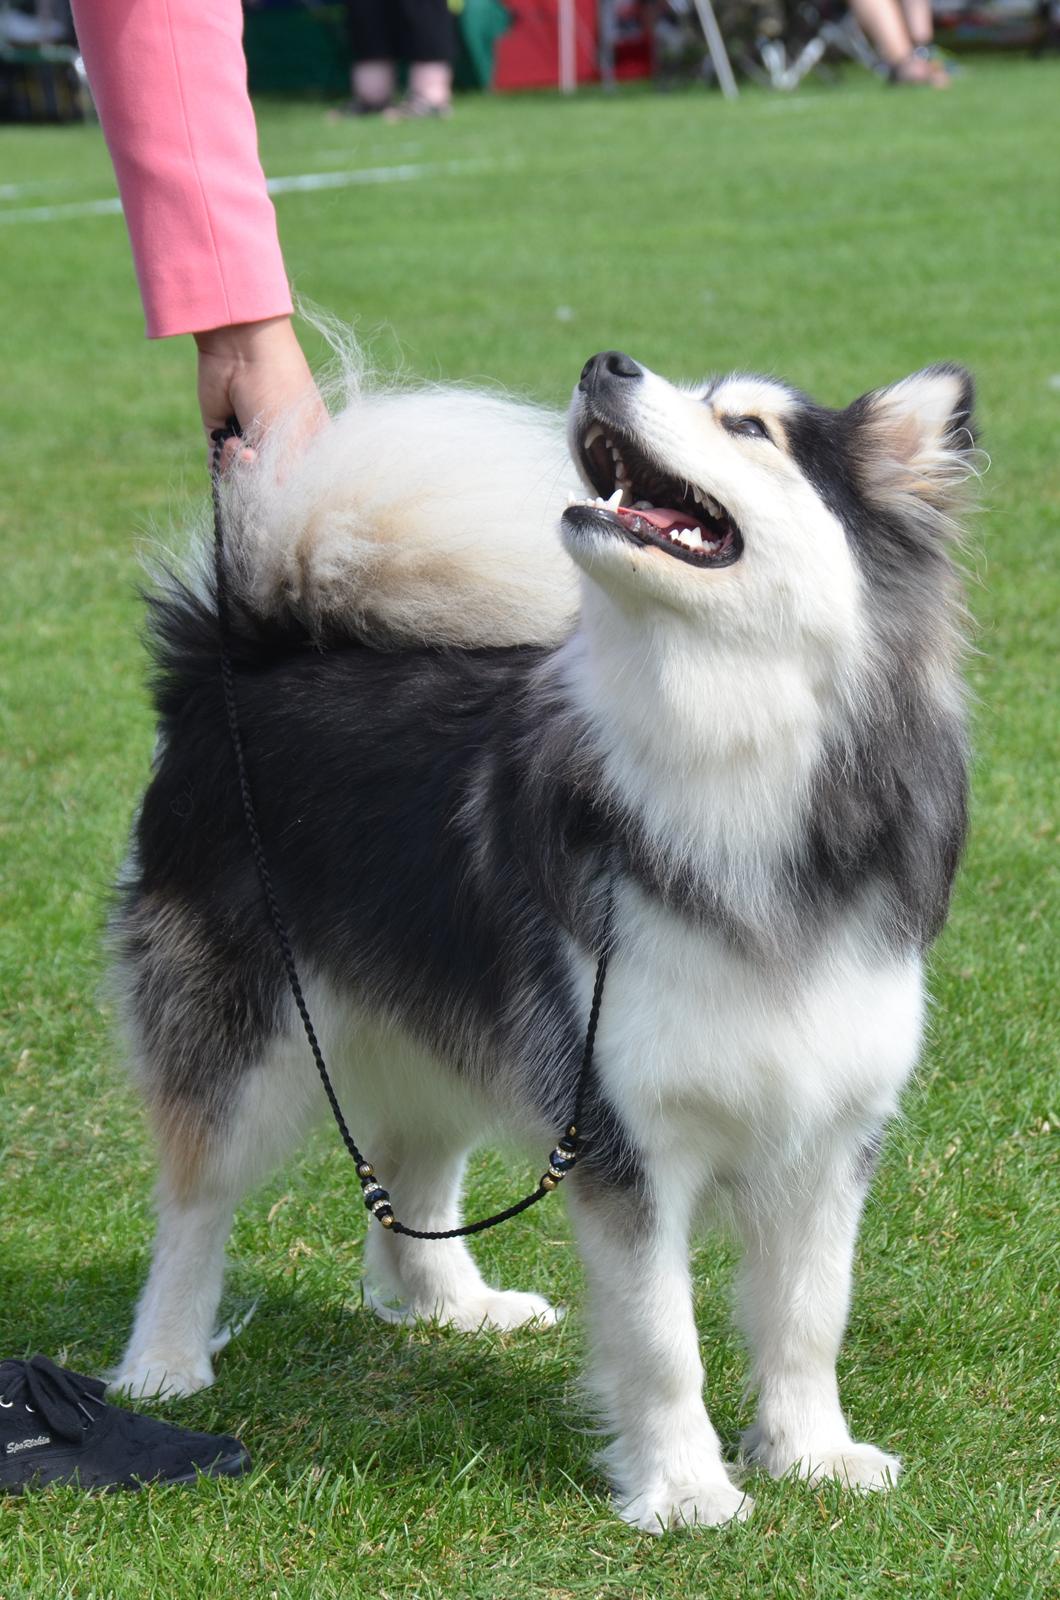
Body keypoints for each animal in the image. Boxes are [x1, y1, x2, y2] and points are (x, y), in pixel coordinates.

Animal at [109, 353, 979, 1536]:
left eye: (747, 424)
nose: (606, 364)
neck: (722, 750)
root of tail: (240, 657)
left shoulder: (829, 1122)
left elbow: (809, 1312)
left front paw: (812, 1454)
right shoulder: (617, 1129)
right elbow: (662, 1338)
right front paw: (686, 1488)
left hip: (446, 1018)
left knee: (411, 1171)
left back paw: (452, 1306)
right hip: (244, 1024)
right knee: (196, 1198)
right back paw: (162, 1362)